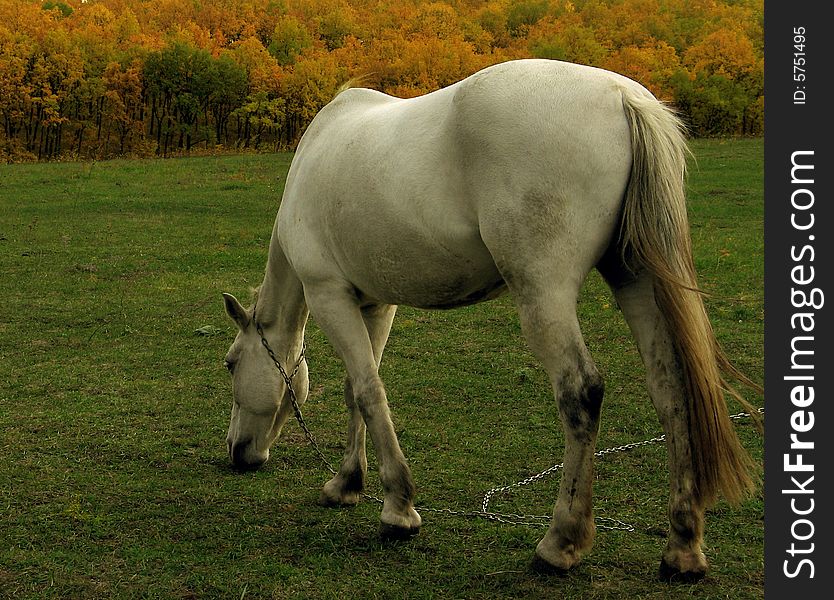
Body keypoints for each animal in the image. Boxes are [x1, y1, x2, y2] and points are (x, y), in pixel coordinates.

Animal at [224, 58, 756, 580]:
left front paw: (398, 509)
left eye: (230, 363)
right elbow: (358, 392)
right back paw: (682, 547)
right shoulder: (374, 304)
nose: (237, 453)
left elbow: (369, 392)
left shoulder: (330, 295)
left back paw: (560, 542)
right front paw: (347, 483)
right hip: (635, 277)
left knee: (581, 392)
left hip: (544, 293)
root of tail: (624, 97)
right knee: (671, 388)